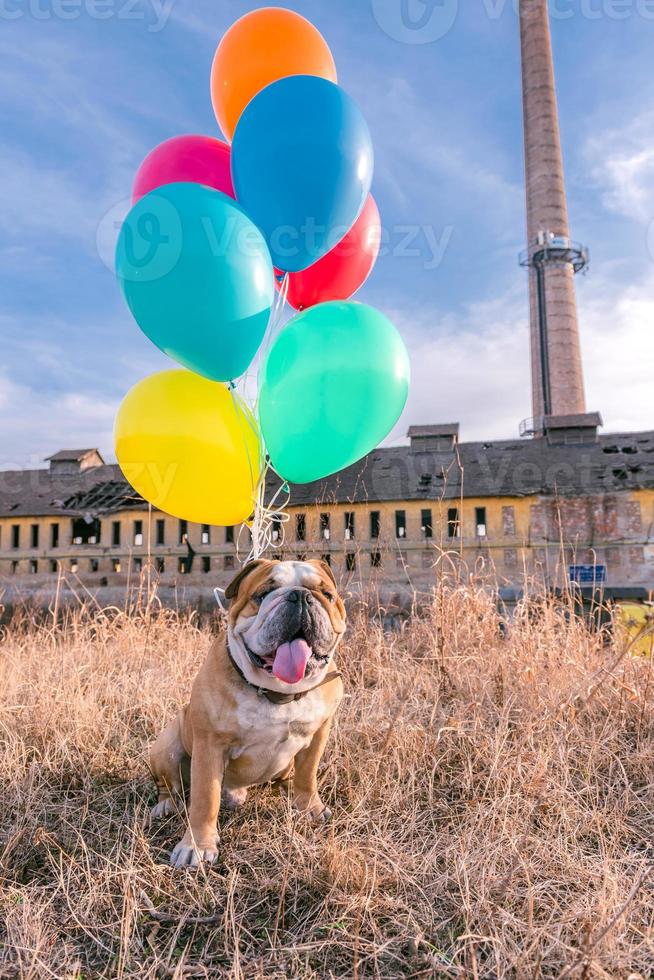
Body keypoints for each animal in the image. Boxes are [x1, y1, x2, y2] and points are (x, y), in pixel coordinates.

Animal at [146, 556, 346, 868]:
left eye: (327, 594)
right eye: (262, 595)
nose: (301, 596)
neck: (277, 692)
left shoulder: (318, 734)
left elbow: (308, 774)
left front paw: (309, 808)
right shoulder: (210, 746)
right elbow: (205, 799)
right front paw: (197, 846)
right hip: (166, 746)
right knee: (170, 785)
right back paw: (166, 804)